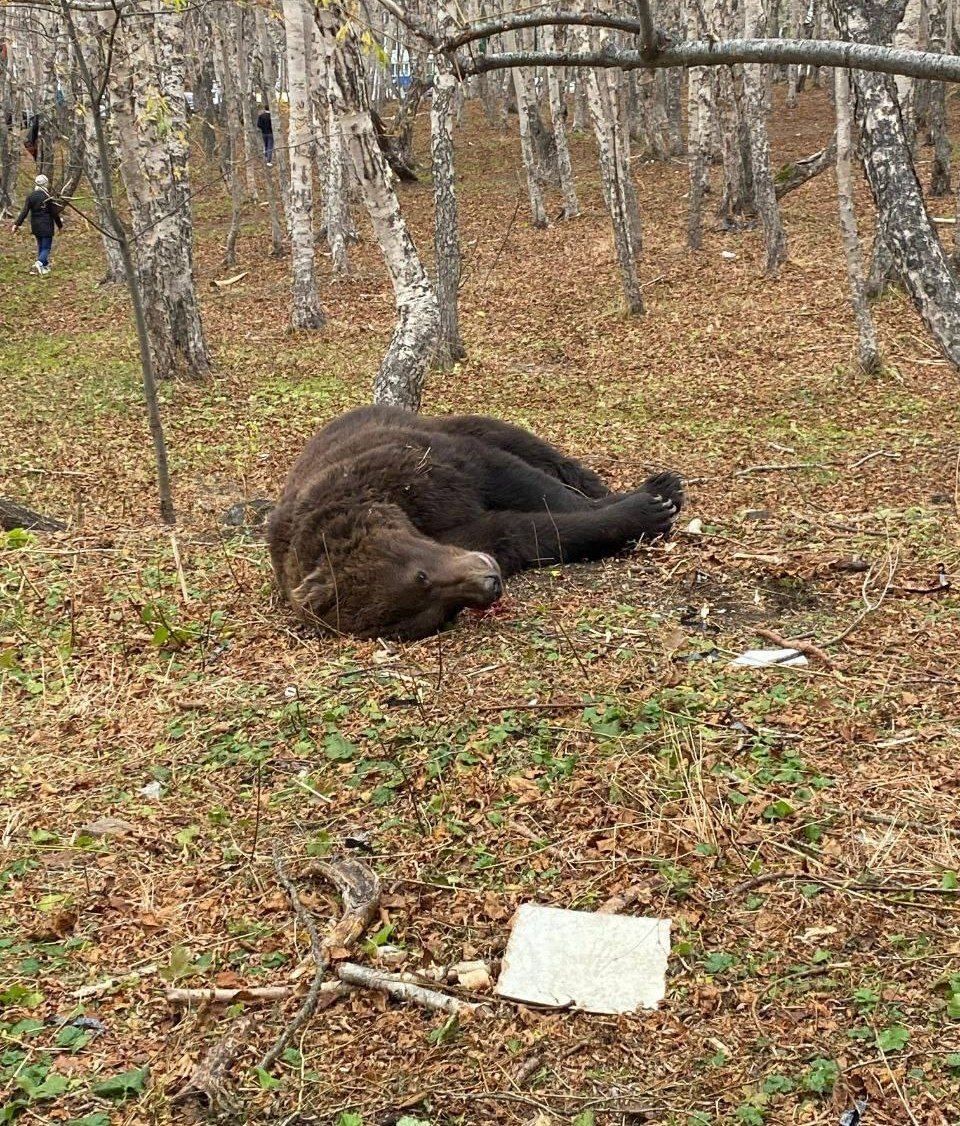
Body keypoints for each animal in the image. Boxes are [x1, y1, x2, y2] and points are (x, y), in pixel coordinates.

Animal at [265, 405, 679, 639]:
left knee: (524, 446)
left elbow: (522, 483)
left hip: (441, 427)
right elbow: (530, 532)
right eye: (439, 613)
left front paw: (651, 502)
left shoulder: (420, 473)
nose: (490, 583)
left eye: (420, 576)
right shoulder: (475, 536)